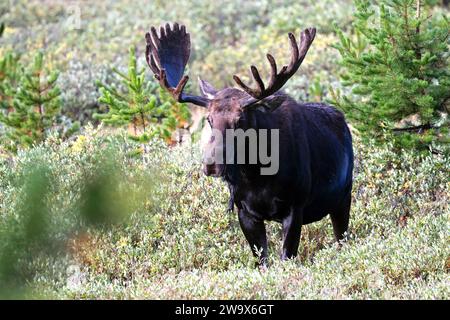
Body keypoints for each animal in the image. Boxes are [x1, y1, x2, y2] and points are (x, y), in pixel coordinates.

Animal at [146, 22, 354, 264]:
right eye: (209, 119)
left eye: (239, 120)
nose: (211, 164)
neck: (256, 175)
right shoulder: (245, 211)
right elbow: (261, 260)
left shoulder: (295, 207)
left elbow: (286, 257)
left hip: (343, 197)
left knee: (342, 238)